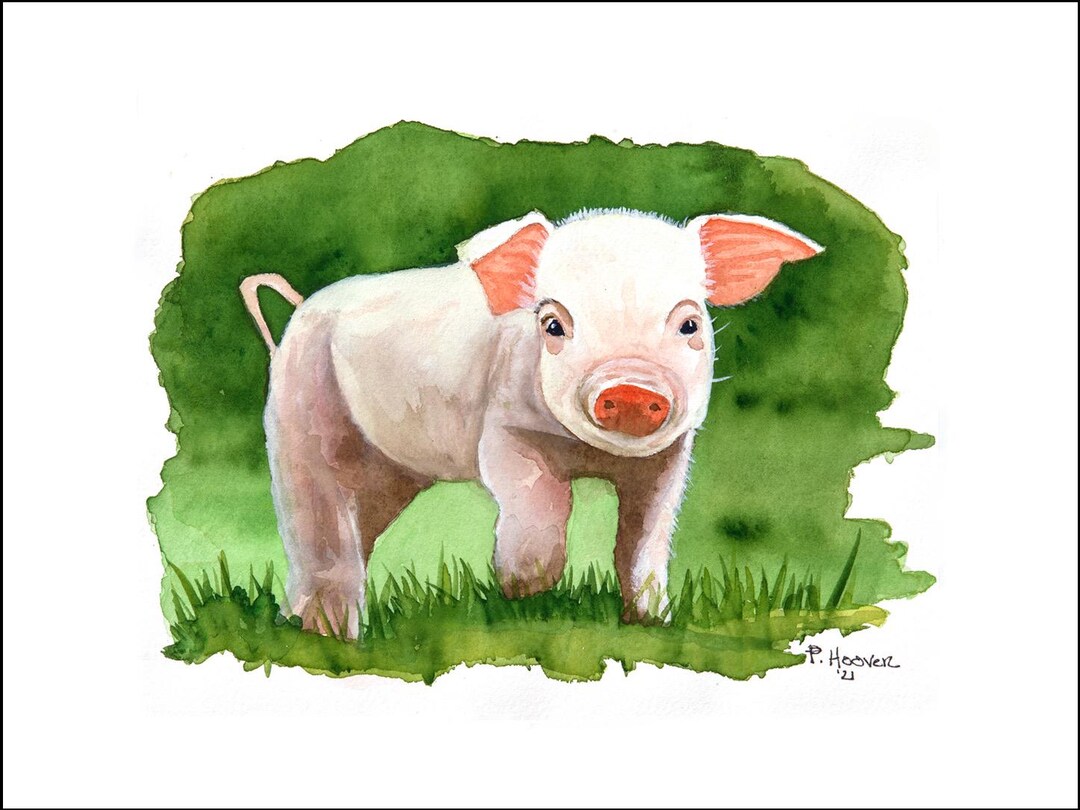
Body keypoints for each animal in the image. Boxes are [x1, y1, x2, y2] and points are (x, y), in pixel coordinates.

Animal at [240, 209, 822, 637]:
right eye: (554, 325)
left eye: (690, 324)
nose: (630, 389)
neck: (590, 456)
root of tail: (298, 312)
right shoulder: (503, 429)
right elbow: (539, 500)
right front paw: (525, 589)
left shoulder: (670, 456)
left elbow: (644, 537)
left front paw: (651, 621)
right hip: (299, 413)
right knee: (317, 522)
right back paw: (329, 635)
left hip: (391, 473)